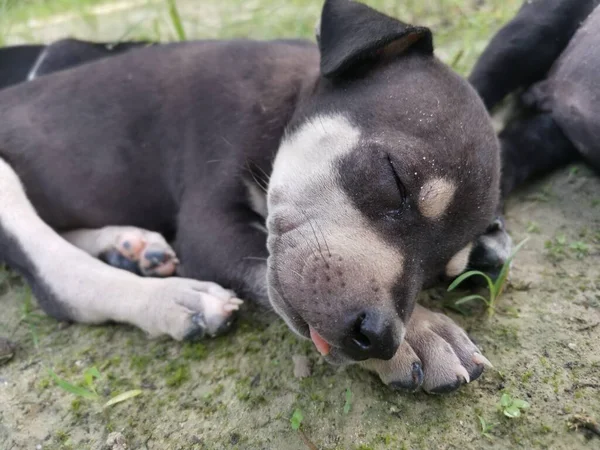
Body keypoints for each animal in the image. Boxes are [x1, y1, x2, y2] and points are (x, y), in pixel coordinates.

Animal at [1, 0, 516, 394]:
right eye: (395, 180)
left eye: (438, 272)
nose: (382, 336)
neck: (287, 102)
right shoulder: (209, 226)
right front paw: (424, 332)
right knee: (57, 278)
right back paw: (173, 300)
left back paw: (130, 245)